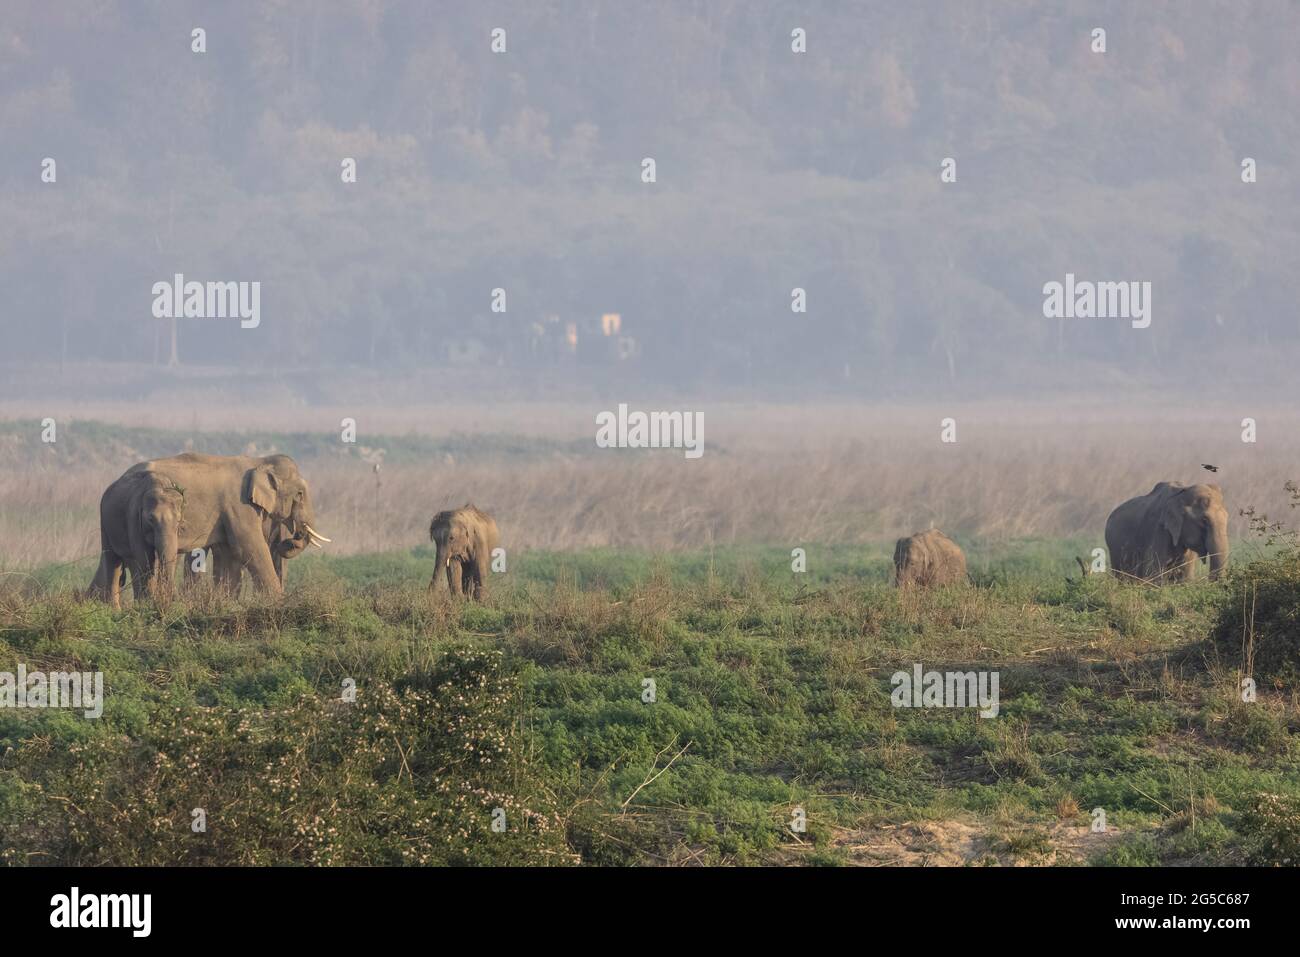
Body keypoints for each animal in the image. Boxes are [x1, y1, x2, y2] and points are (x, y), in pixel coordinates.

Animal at [88, 449, 327, 605]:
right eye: (300, 494)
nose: (288, 541)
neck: (258, 461)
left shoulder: (228, 513)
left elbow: (231, 553)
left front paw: (226, 603)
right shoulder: (239, 505)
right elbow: (249, 548)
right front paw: (277, 602)